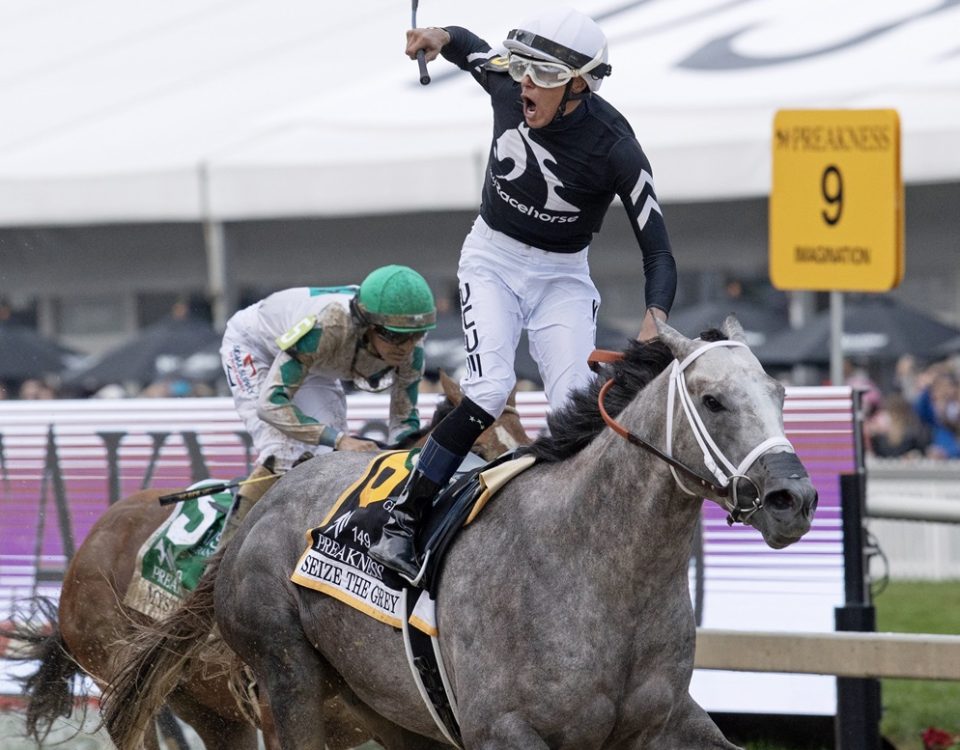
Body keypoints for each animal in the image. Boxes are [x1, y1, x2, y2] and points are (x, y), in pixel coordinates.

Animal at [1, 374, 532, 750]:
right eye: (478, 447)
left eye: (524, 433)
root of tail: (89, 545)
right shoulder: (282, 709)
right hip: (120, 679)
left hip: (210, 712)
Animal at [110, 318, 816, 750]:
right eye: (714, 400)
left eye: (780, 394)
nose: (795, 499)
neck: (602, 569)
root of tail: (265, 505)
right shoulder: (505, 732)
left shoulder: (668, 722)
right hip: (288, 676)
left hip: (387, 707)